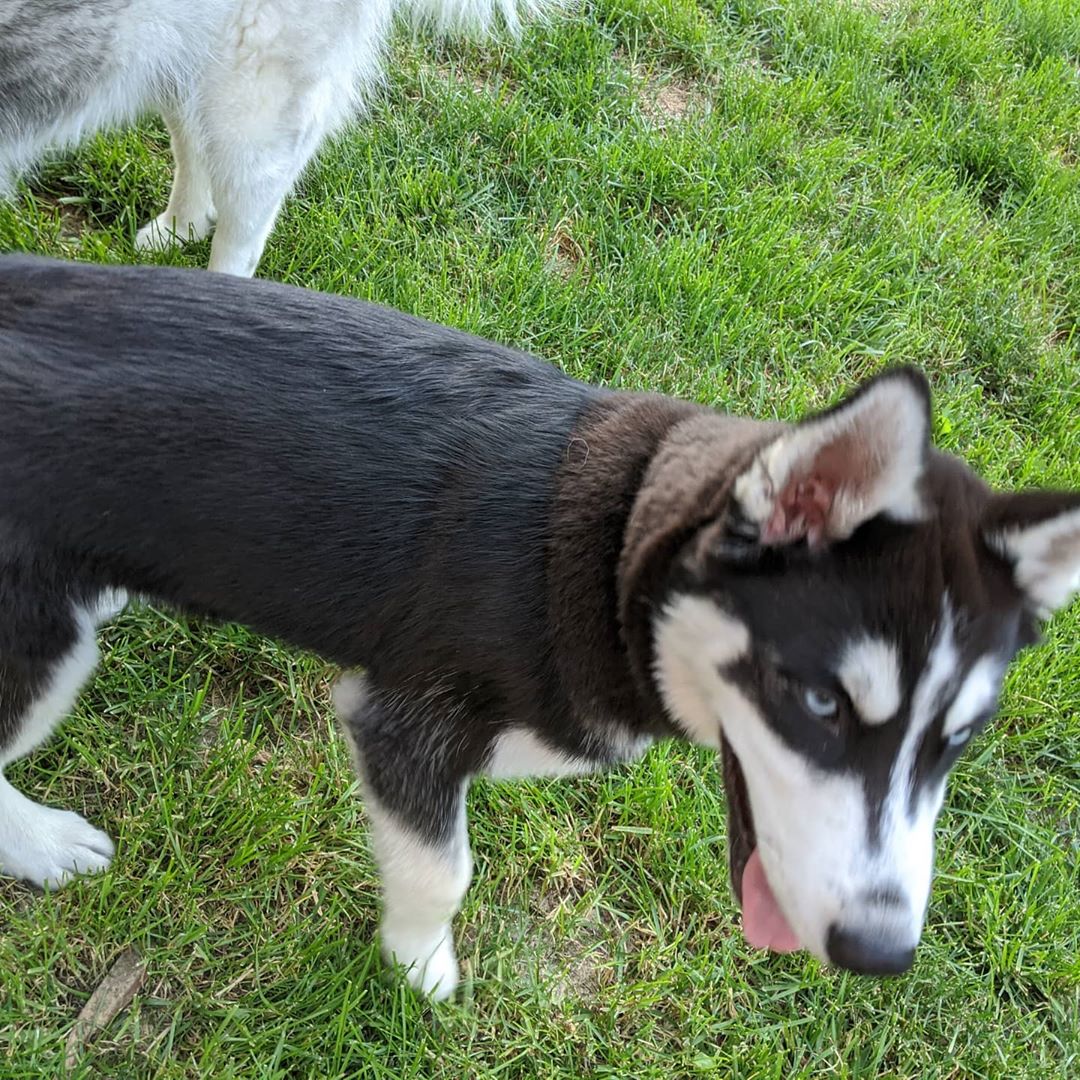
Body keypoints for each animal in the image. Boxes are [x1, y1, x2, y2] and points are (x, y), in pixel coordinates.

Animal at [0, 257, 1075, 997]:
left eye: (960, 741)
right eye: (817, 701)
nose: (881, 953)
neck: (604, 565)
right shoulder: (404, 726)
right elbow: (444, 871)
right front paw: (418, 969)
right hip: (37, 645)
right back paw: (44, 843)